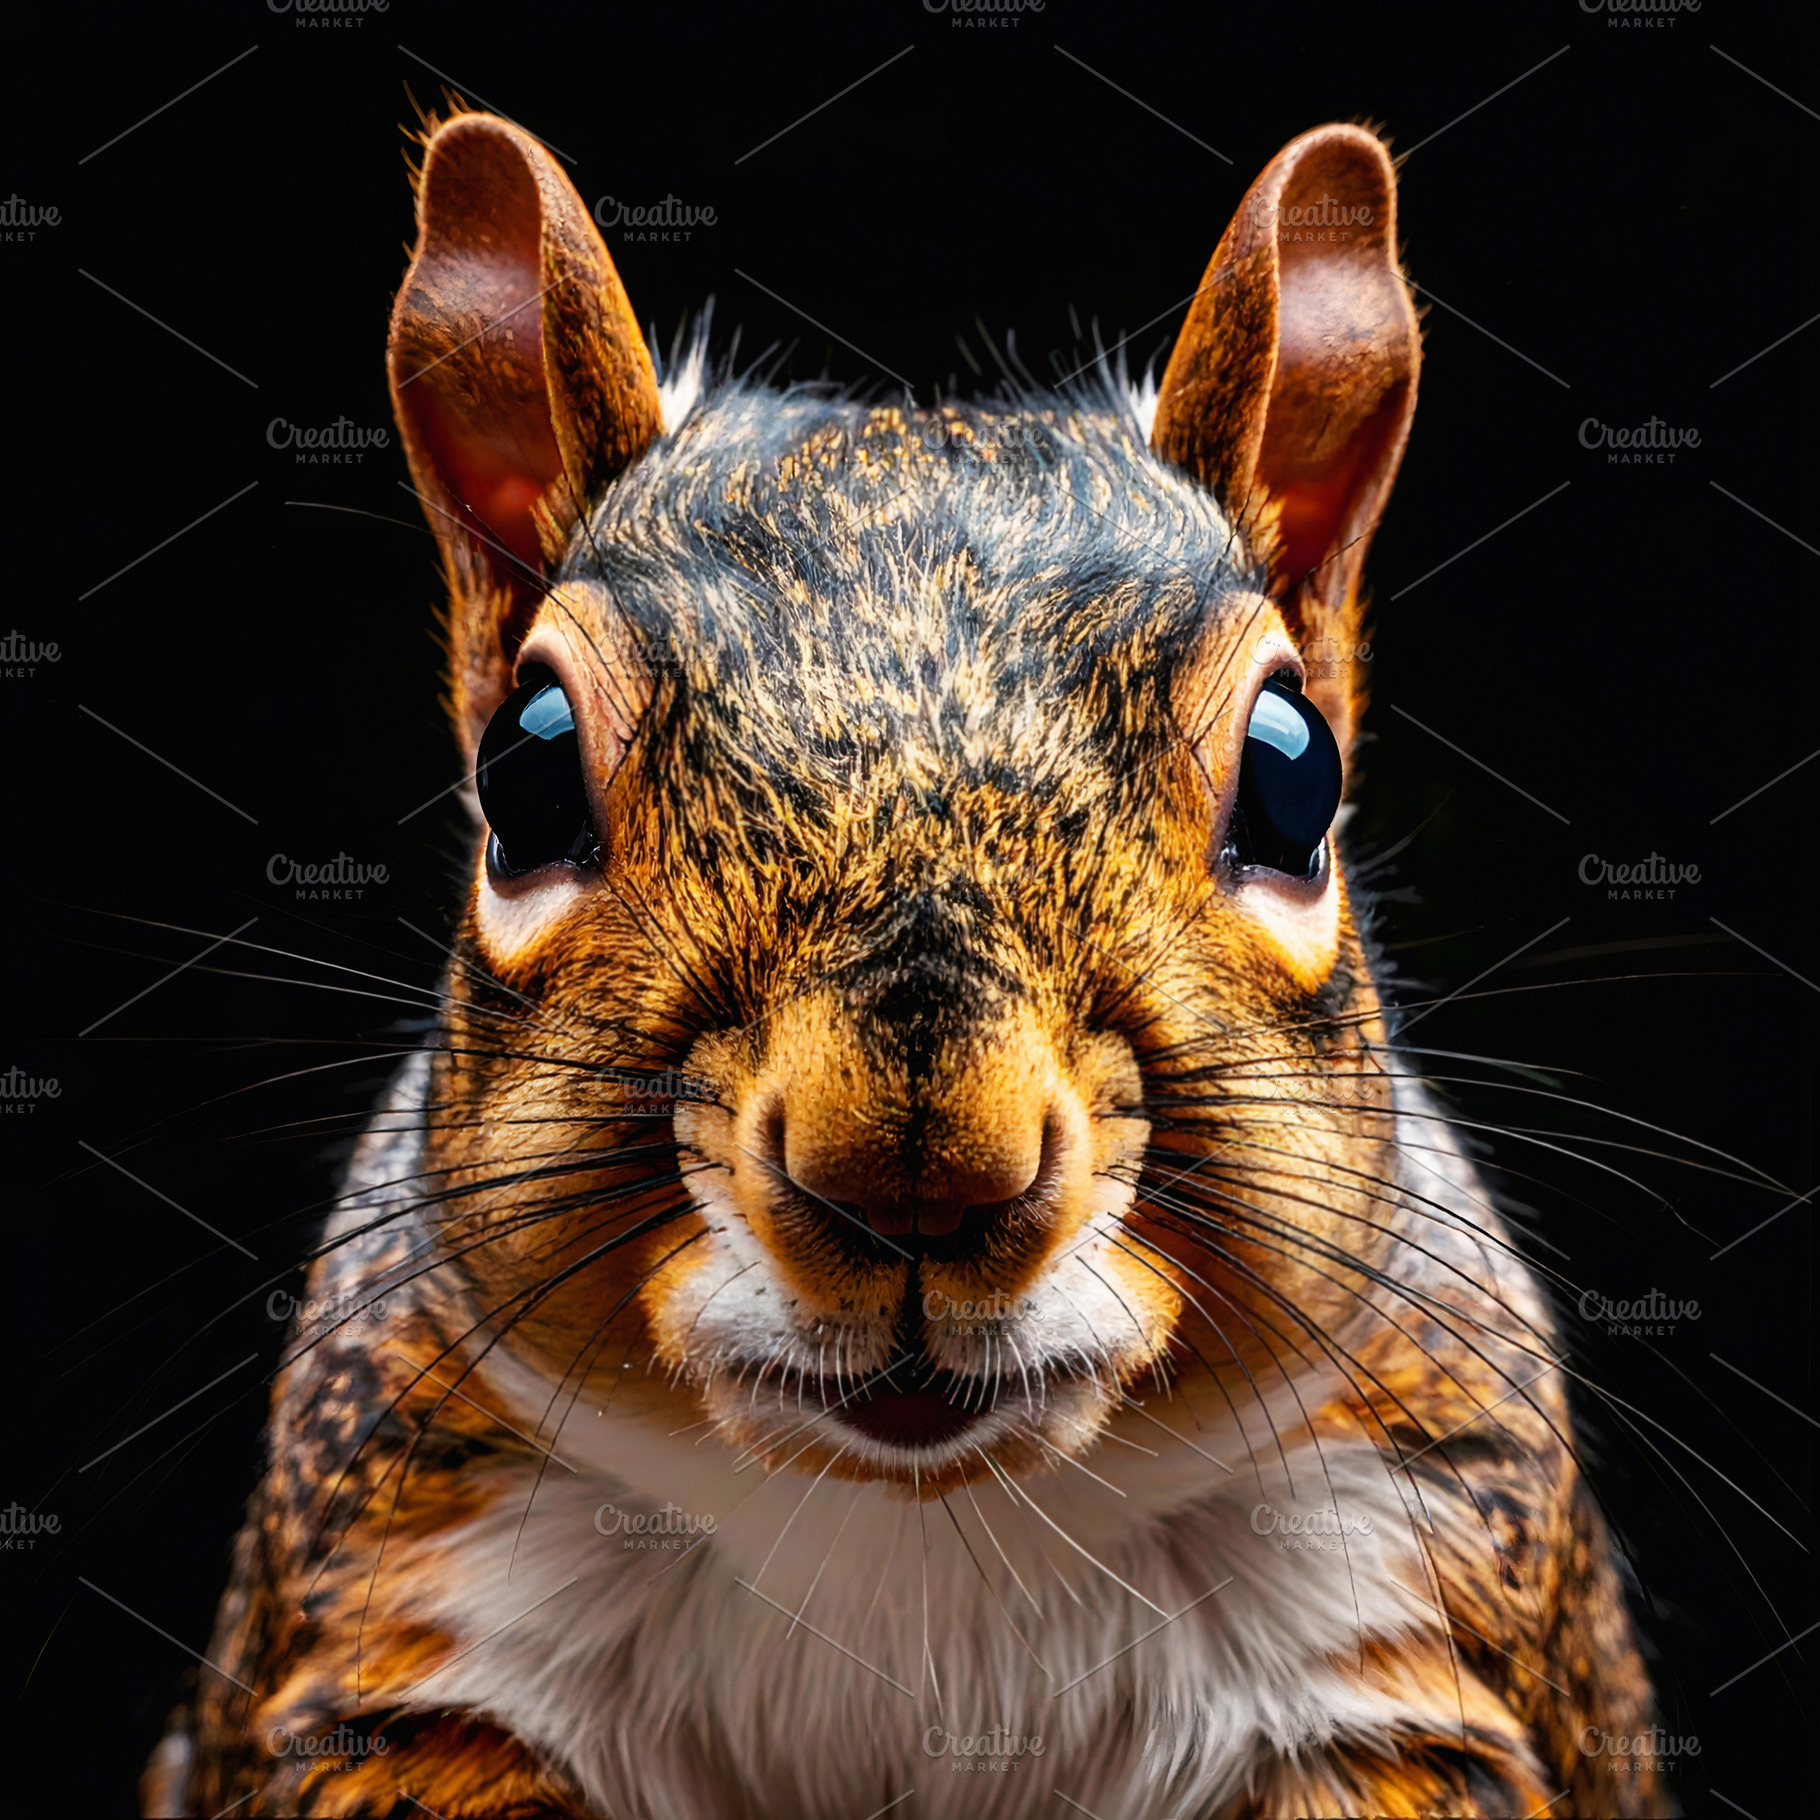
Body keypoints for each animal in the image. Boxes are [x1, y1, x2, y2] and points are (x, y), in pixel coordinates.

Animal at [142, 110, 1669, 1819]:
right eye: (526, 771)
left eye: (1295, 775)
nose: (917, 1173)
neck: (912, 1546)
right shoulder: (397, 1623)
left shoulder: (1406, 1629)